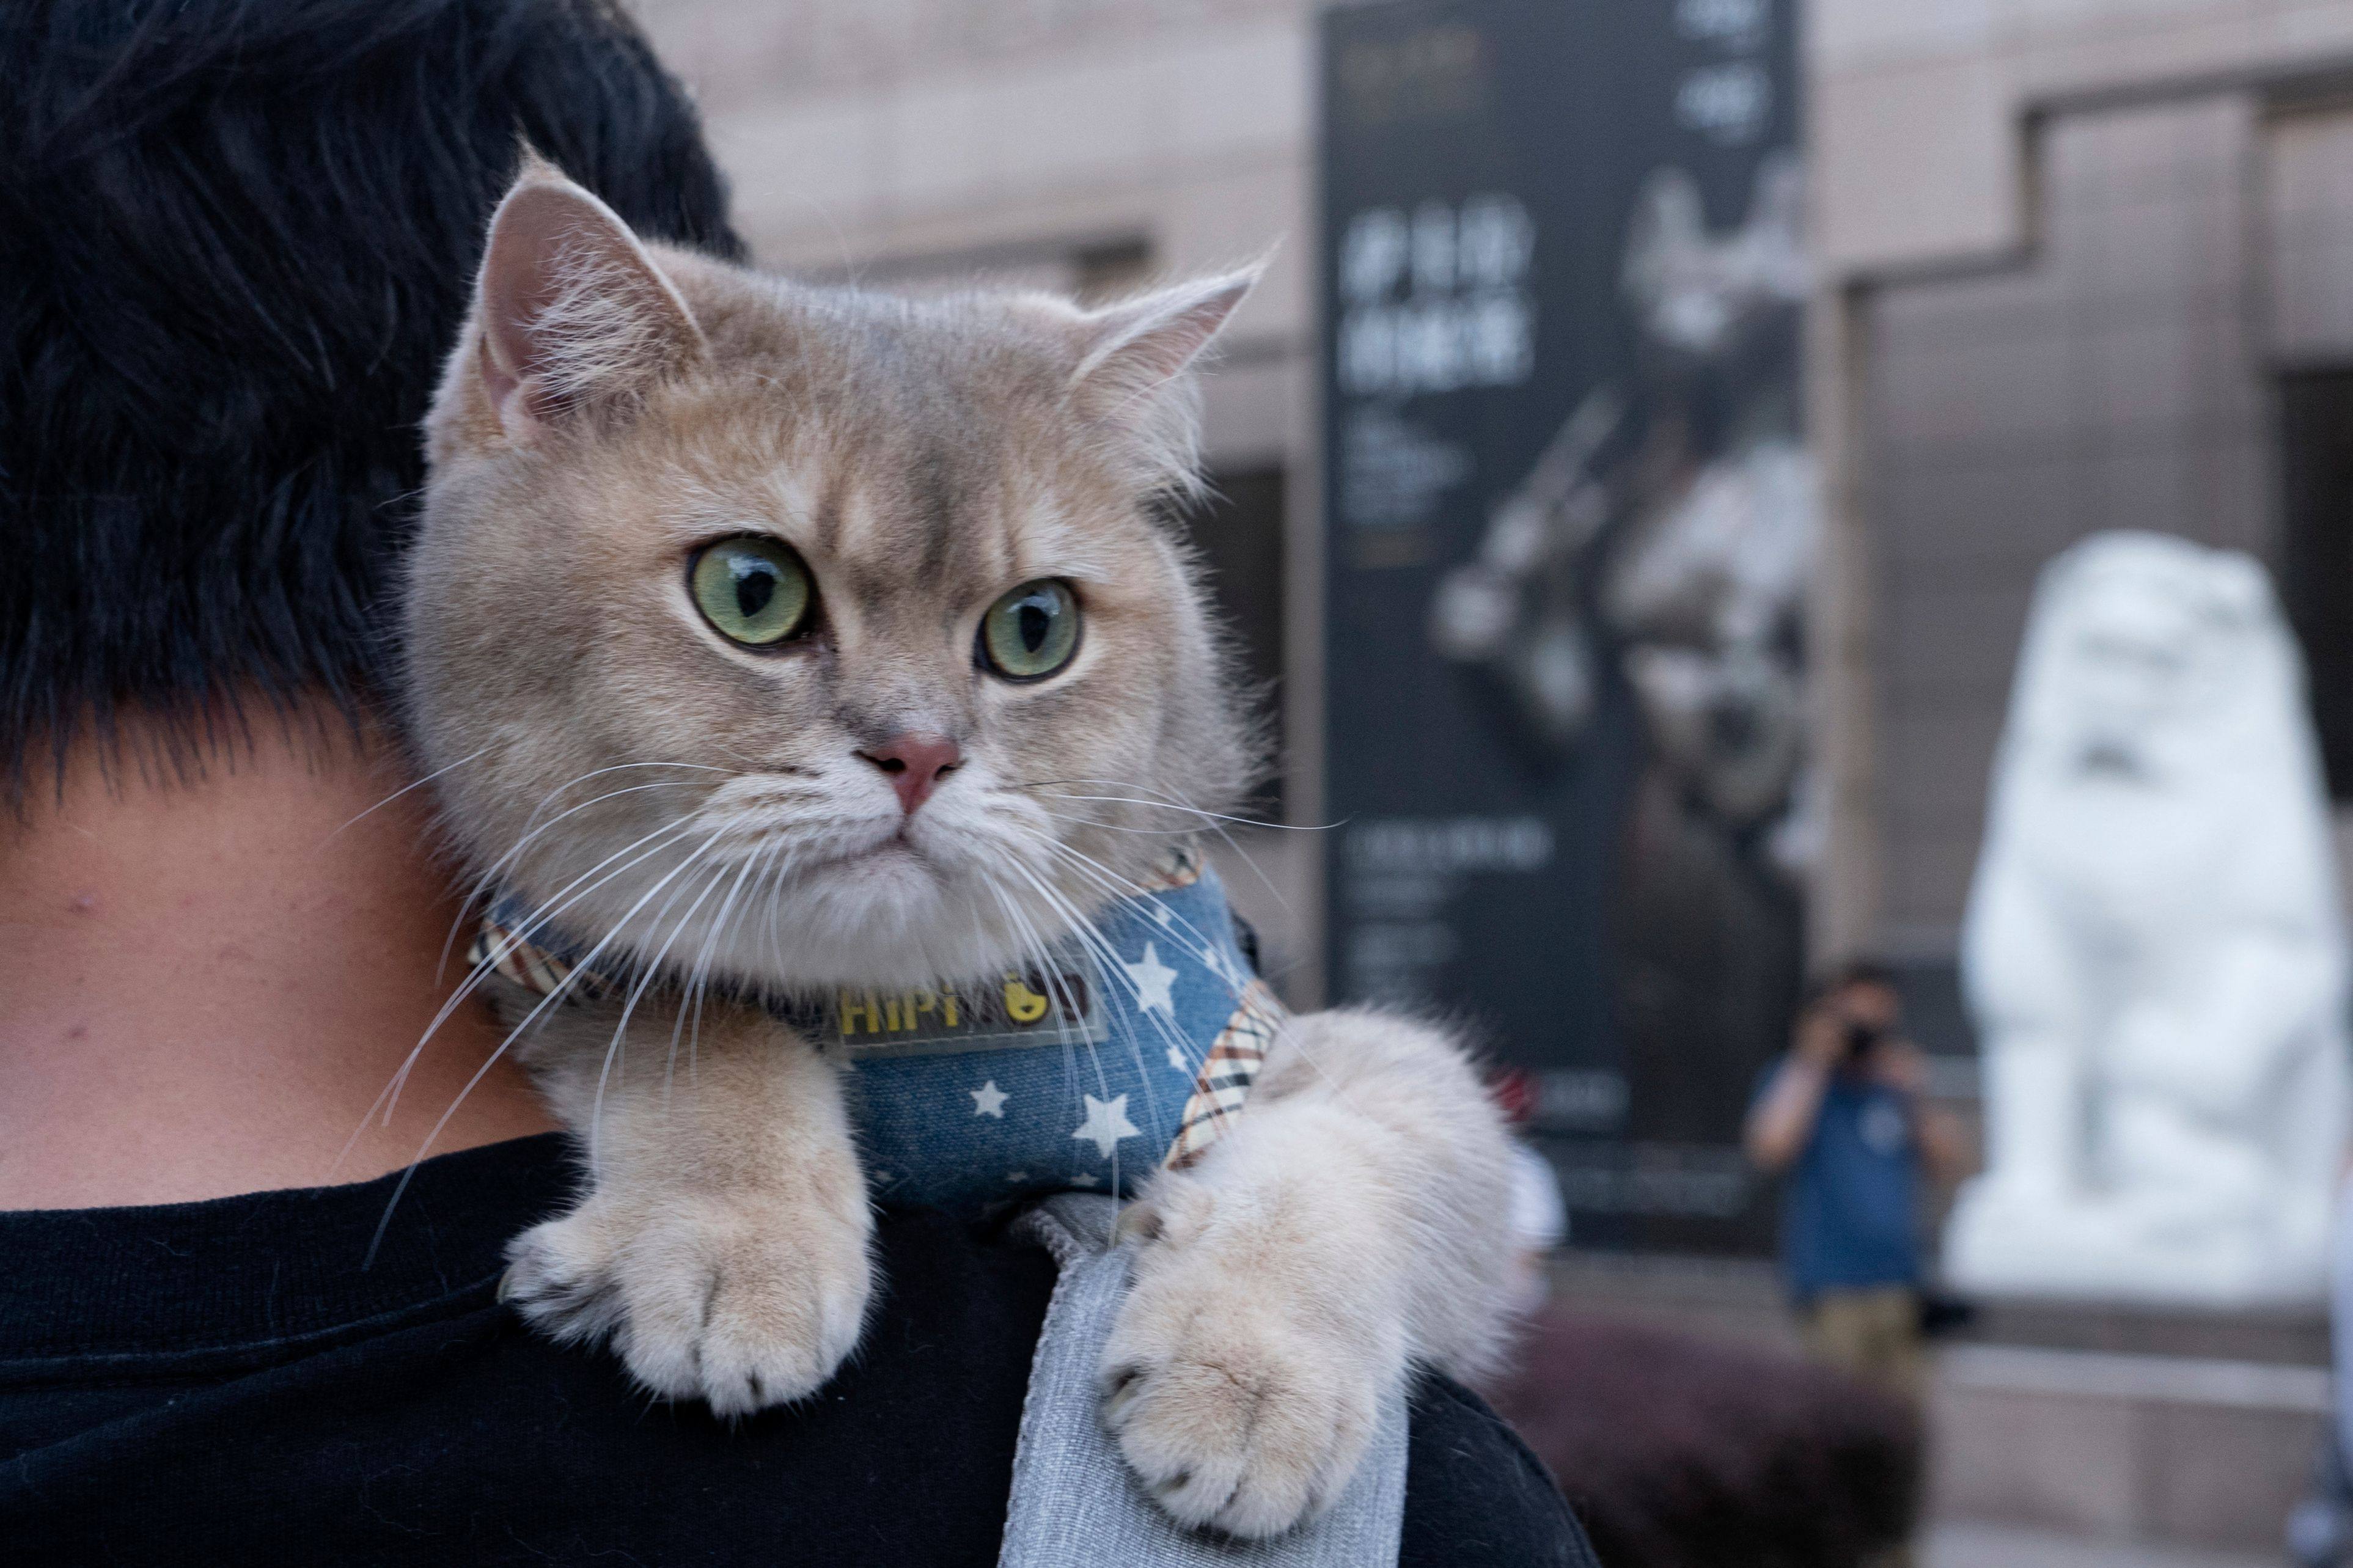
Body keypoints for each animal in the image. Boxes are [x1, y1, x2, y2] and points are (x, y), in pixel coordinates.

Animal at [397, 161, 1515, 1535]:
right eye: (751, 591)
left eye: (1035, 627)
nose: (921, 753)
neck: (925, 1022)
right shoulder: (552, 958)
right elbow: (702, 1021)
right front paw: (728, 1239)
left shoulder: (1289, 1050)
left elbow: (1377, 1128)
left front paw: (1246, 1378)